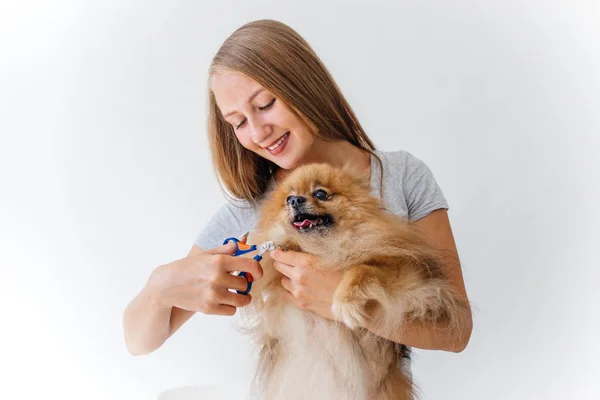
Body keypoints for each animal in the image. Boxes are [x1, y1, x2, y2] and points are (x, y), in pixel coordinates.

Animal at [239, 162, 468, 400]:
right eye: (288, 198)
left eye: (320, 194)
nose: (295, 200)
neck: (323, 247)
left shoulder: (411, 278)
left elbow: (361, 268)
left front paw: (345, 302)